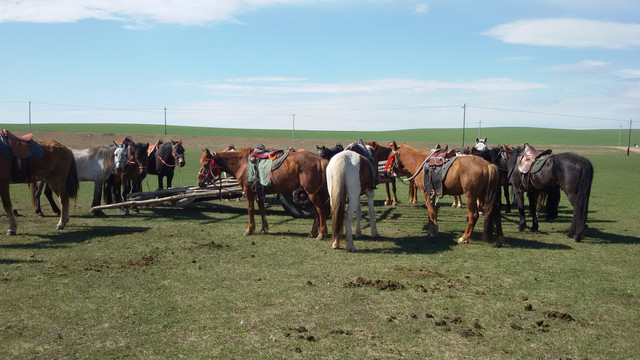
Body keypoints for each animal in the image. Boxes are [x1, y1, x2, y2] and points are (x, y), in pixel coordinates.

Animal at [198, 148, 330, 240]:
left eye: (205, 164)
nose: (199, 181)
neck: (242, 164)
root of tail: (321, 161)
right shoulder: (260, 192)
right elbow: (261, 209)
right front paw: (264, 228)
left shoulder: (248, 191)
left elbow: (250, 209)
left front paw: (249, 230)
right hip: (318, 192)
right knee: (318, 211)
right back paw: (314, 233)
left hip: (311, 192)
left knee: (320, 210)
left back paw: (321, 234)